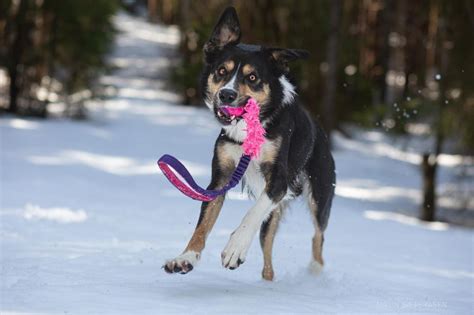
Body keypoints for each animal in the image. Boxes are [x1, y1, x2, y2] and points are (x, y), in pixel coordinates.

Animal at [165, 6, 336, 282]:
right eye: (221, 71)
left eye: (253, 77)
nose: (227, 94)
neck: (248, 130)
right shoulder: (220, 179)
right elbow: (203, 225)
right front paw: (186, 258)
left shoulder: (279, 181)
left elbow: (252, 213)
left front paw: (234, 248)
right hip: (273, 220)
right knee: (268, 253)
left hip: (320, 194)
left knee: (318, 235)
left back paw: (315, 270)